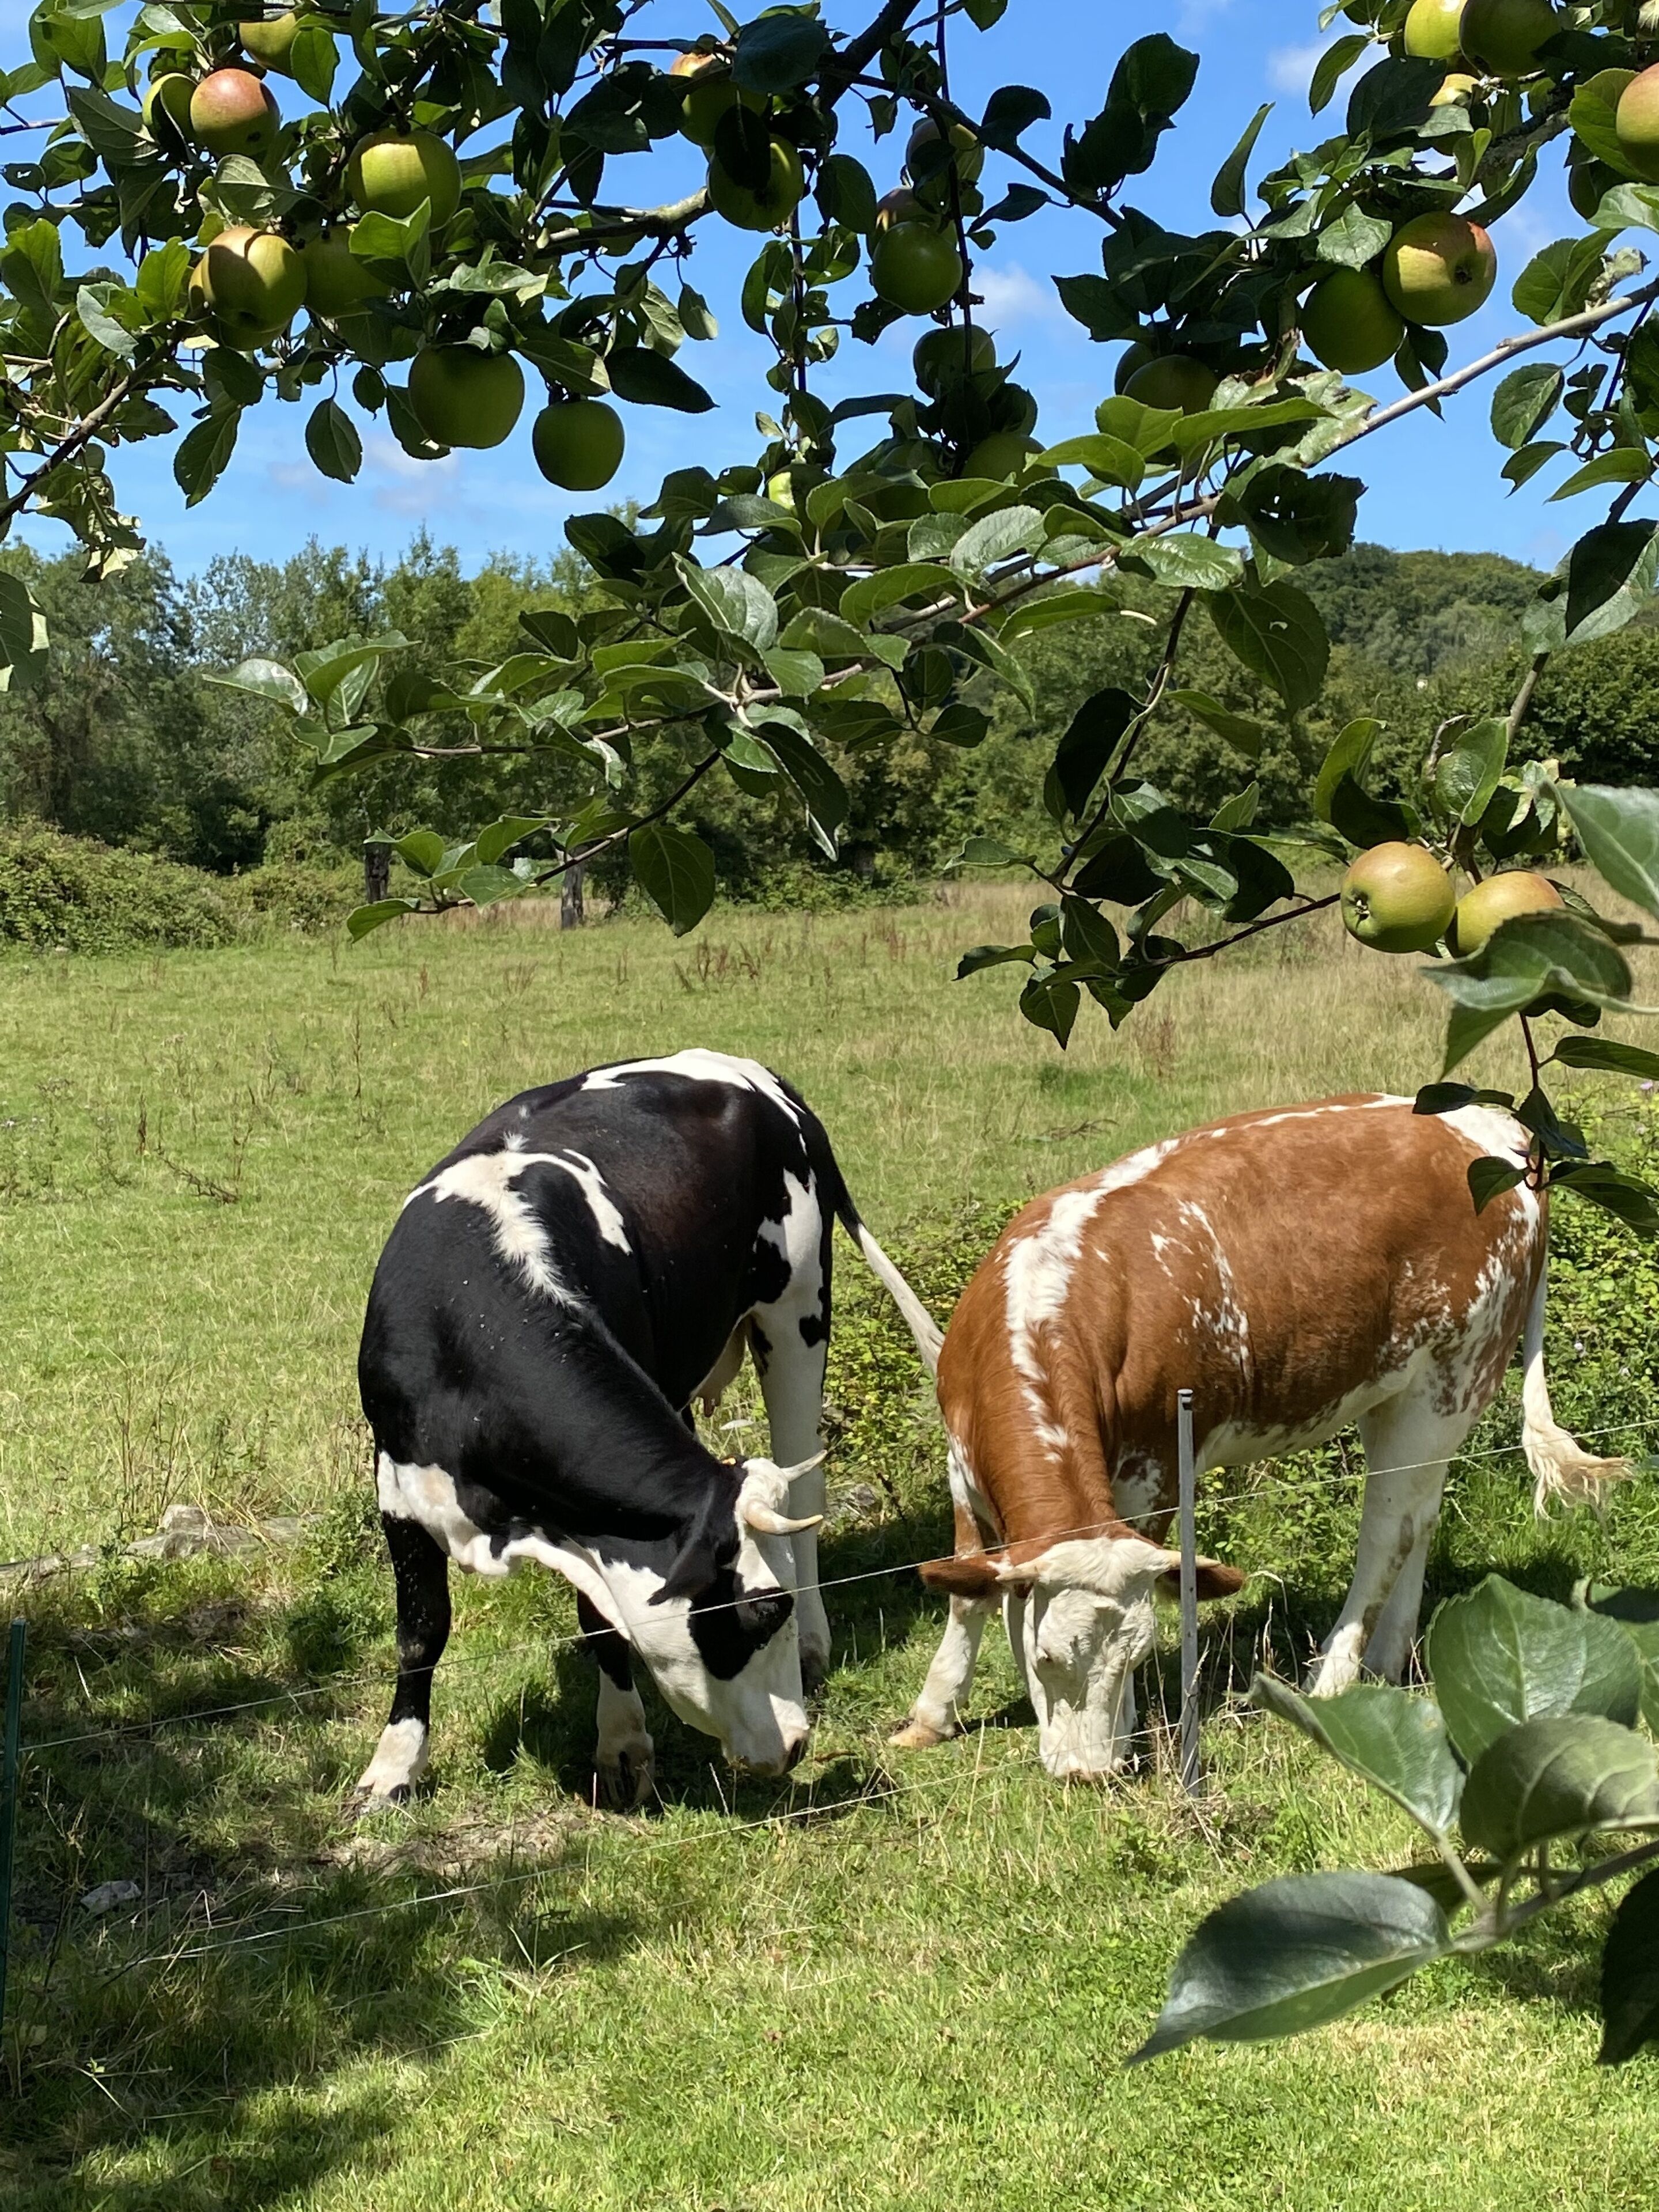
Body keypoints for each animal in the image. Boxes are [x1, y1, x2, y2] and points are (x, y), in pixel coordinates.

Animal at [353, 1048, 942, 1812]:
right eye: (761, 1612)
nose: (797, 1744)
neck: (470, 1320)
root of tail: (750, 1071)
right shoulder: (397, 1486)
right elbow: (421, 1631)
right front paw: (394, 1766)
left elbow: (601, 1620)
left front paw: (623, 1746)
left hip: (798, 1310)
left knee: (807, 1490)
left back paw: (818, 1645)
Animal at [891, 1094, 1631, 1784]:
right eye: (1044, 1657)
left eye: (1136, 1656)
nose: (1091, 1771)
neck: (1047, 1301)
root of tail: (1495, 1126)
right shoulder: (963, 1472)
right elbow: (965, 1589)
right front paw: (931, 1714)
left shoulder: (1154, 1472)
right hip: (1403, 1392)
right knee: (1420, 1516)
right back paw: (1390, 1657)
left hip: (1451, 1376)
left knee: (1387, 1532)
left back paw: (1333, 1676)